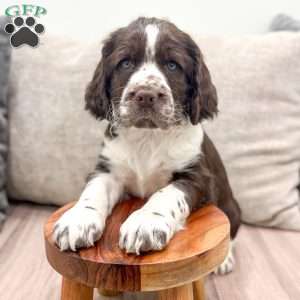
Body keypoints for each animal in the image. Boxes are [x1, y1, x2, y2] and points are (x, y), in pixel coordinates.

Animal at [53, 16, 241, 274]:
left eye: (172, 65)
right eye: (125, 63)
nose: (146, 95)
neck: (148, 137)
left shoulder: (198, 177)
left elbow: (167, 194)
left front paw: (146, 223)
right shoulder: (108, 169)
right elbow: (93, 191)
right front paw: (78, 220)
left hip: (231, 207)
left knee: (231, 232)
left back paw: (224, 260)